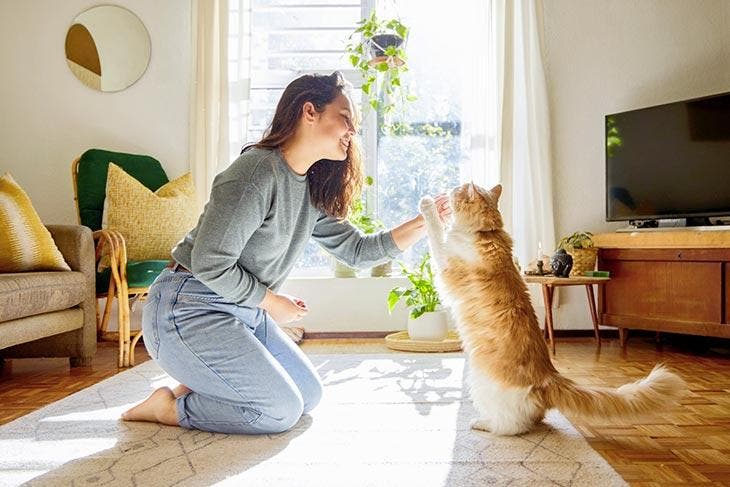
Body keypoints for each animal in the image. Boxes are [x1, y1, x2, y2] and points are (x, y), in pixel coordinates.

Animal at [418, 184, 684, 438]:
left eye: (458, 189)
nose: (448, 191)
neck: (486, 232)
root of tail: (548, 377)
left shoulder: (444, 264)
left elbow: (435, 231)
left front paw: (428, 204)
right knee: (534, 419)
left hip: (479, 383)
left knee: (513, 427)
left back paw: (482, 423)